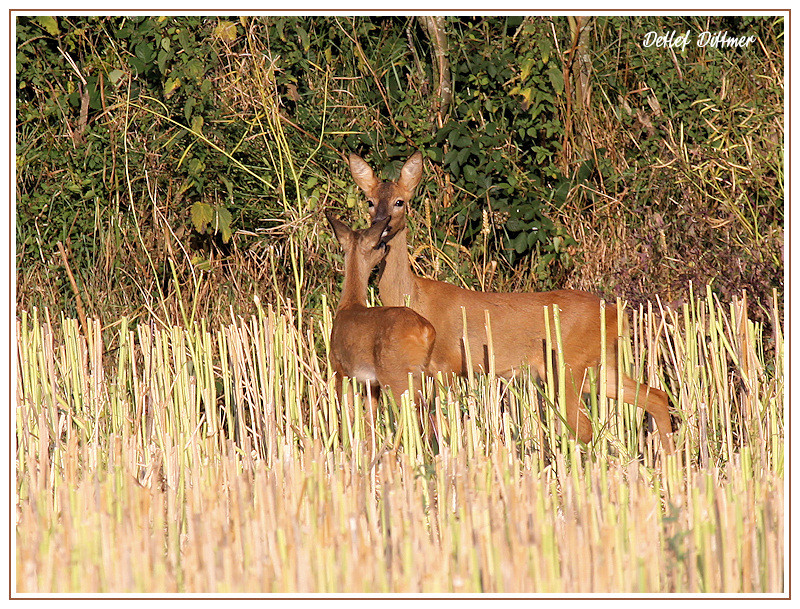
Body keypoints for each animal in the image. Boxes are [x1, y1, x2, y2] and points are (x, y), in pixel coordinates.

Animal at [326, 209, 438, 422]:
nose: (385, 245)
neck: (349, 305)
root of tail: (426, 331)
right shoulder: (372, 384)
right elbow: (369, 419)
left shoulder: (340, 368)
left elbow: (349, 415)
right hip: (422, 374)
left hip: (396, 375)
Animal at [348, 150, 676, 448]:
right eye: (370, 201)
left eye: (400, 201)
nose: (381, 226)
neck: (415, 298)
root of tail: (613, 313)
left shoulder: (447, 365)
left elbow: (444, 428)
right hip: (600, 365)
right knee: (656, 397)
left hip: (567, 364)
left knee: (582, 427)